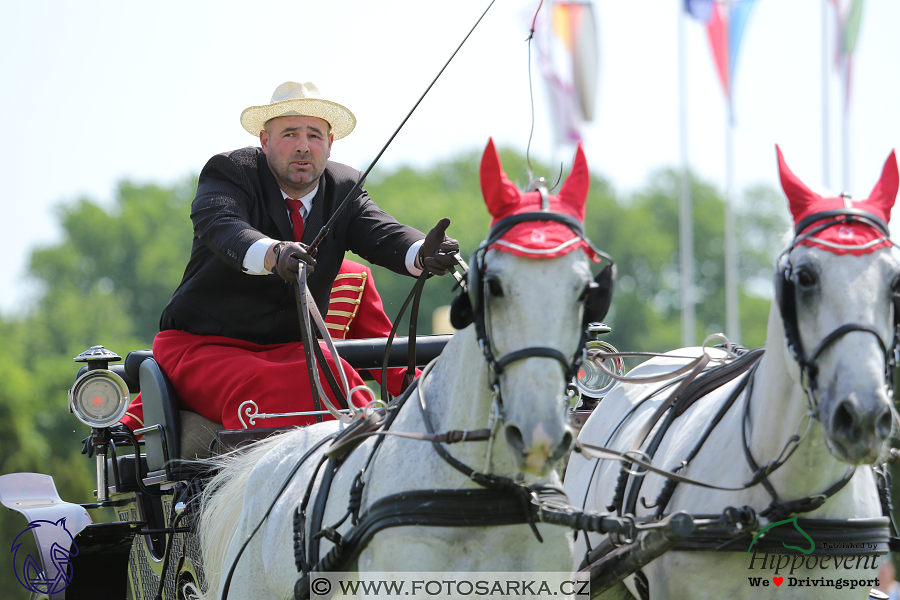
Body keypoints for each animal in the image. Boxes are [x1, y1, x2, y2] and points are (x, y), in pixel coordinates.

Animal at [191, 138, 608, 596]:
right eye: (493, 285)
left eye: (586, 290)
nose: (539, 434)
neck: (480, 486)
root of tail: (259, 460)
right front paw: (285, 255)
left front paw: (431, 252)